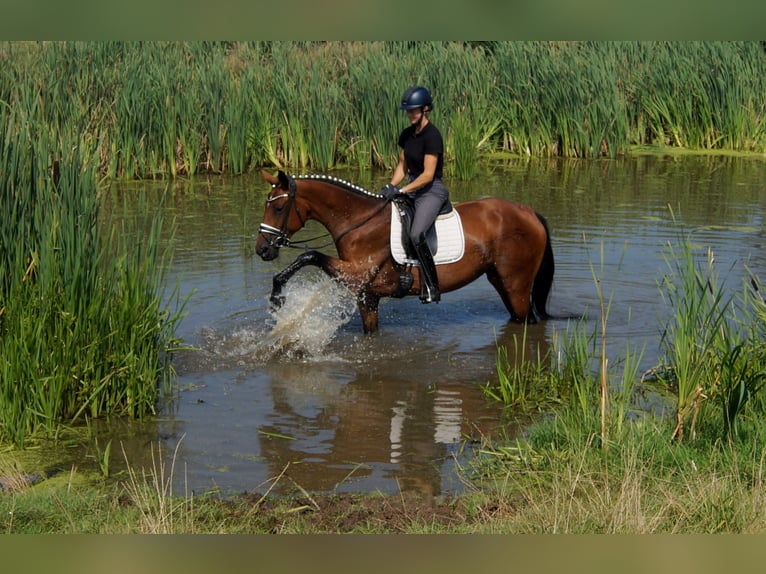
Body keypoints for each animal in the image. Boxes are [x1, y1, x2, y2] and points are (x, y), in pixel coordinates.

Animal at [255, 169, 556, 336]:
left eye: (278, 208)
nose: (262, 250)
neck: (358, 221)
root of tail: (529, 212)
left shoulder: (355, 273)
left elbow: (309, 255)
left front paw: (277, 298)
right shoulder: (367, 296)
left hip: (516, 285)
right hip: (500, 281)